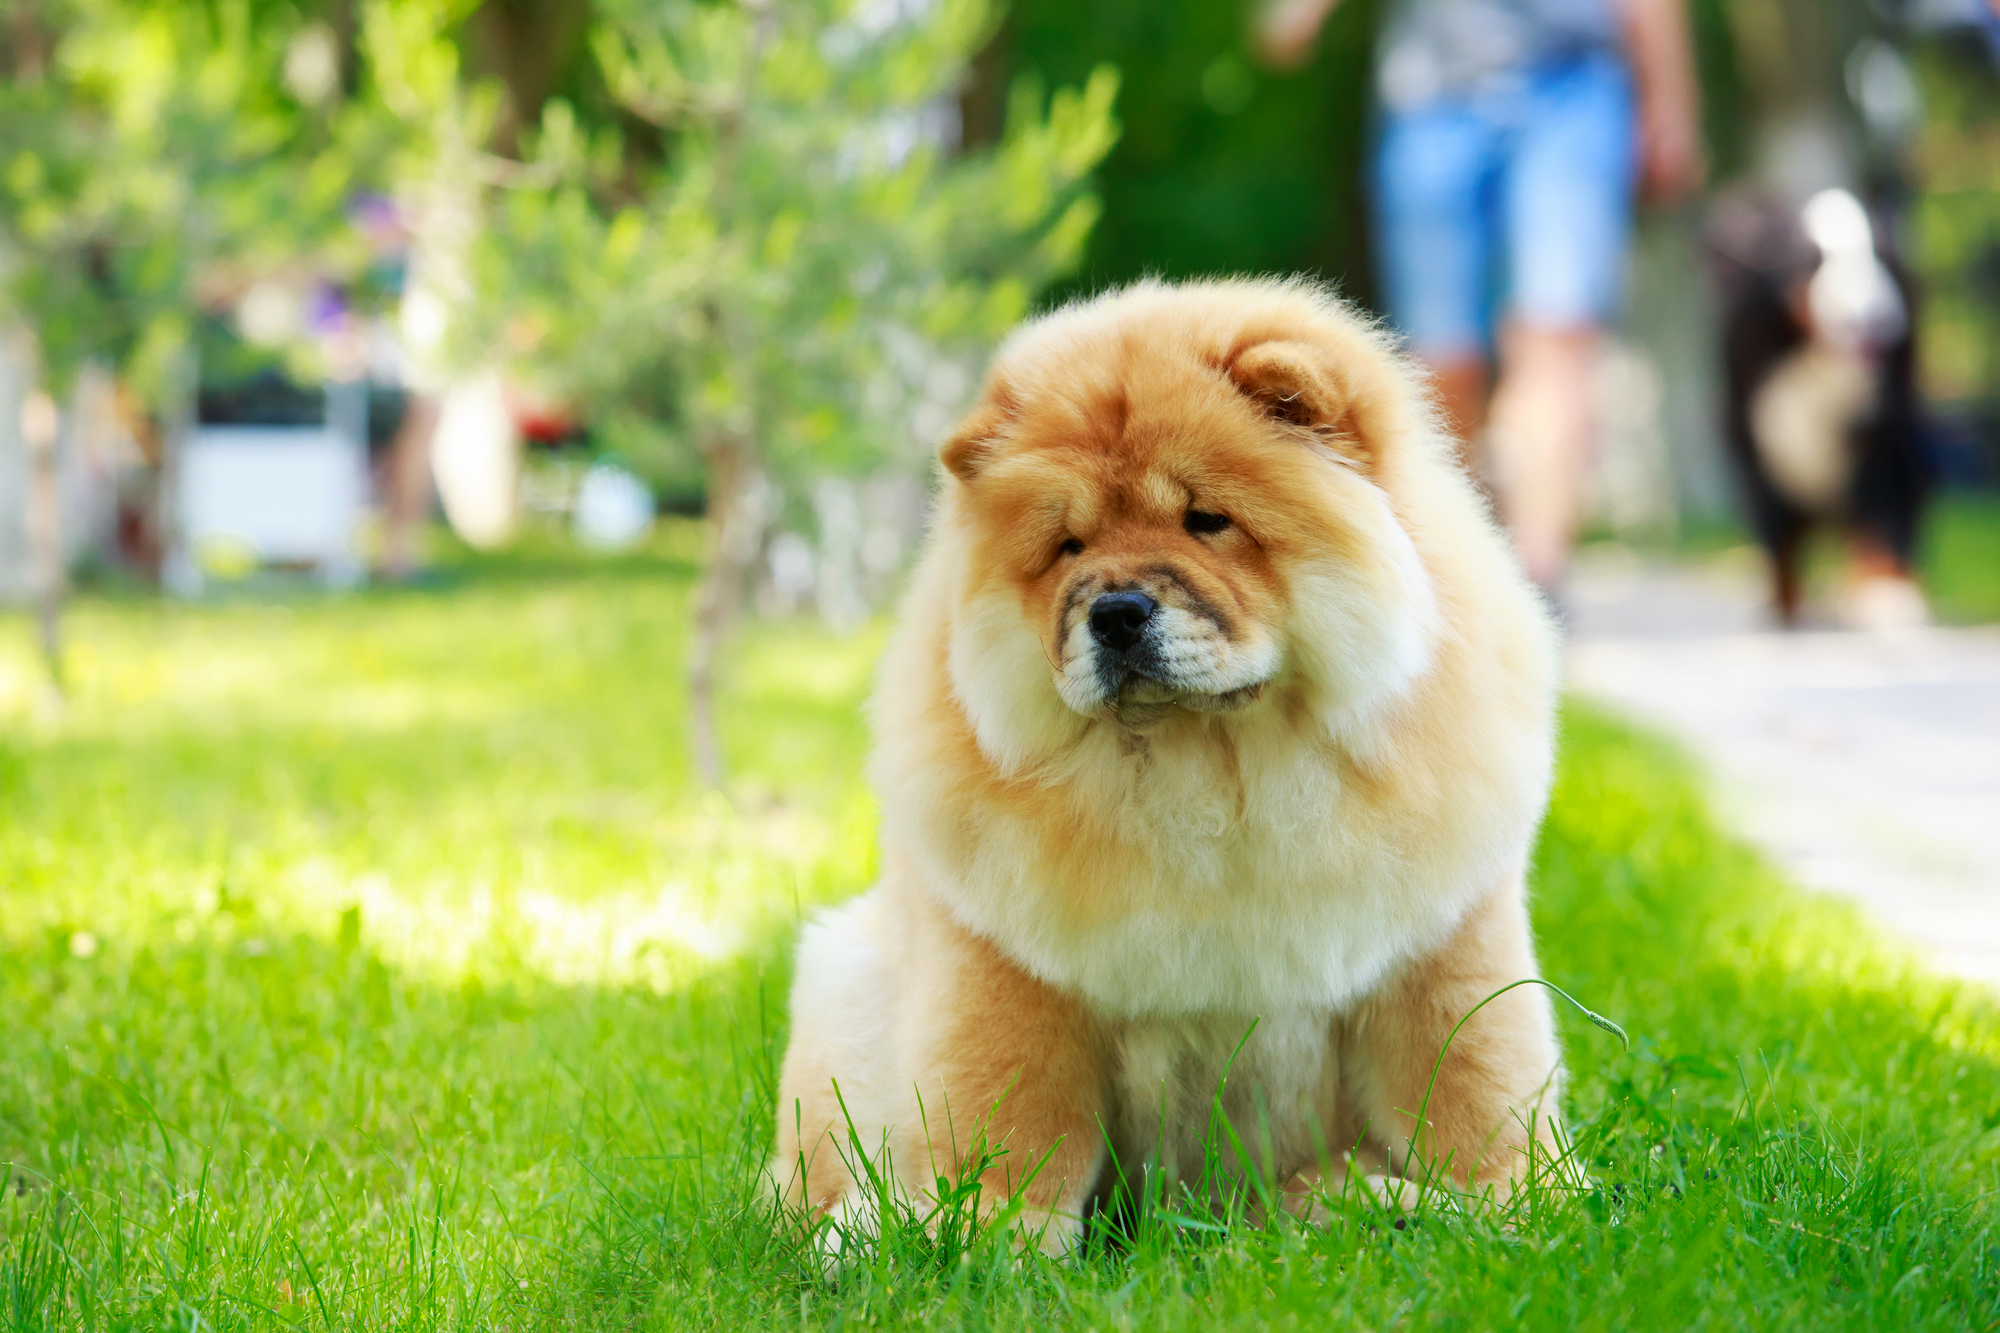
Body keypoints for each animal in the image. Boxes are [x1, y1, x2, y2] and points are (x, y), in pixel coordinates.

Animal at [772, 274, 1568, 1248]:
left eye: (1207, 521)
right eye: (1068, 547)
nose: (1114, 610)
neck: (1213, 769)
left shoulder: (1438, 939)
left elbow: (1472, 1078)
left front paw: (1512, 1207)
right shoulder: (1011, 964)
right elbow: (1012, 1110)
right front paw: (982, 1234)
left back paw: (1347, 1200)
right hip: (841, 983)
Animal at [1712, 183, 1928, 632]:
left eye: (1883, 257)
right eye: (1810, 261)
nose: (1878, 320)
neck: (1812, 362)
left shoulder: (1880, 436)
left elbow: (1878, 517)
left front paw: (1883, 594)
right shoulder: (1749, 437)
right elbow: (1777, 534)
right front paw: (1783, 605)